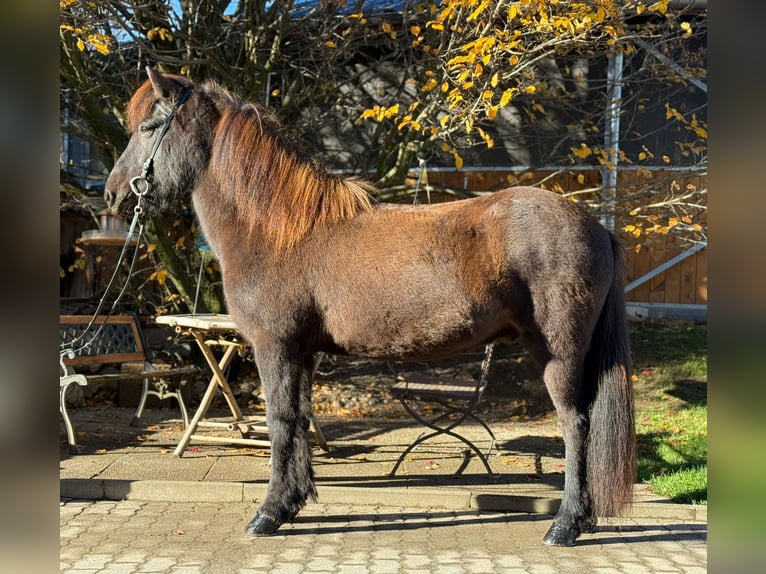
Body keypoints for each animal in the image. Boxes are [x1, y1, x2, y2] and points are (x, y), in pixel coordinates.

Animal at [105, 67, 635, 547]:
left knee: (576, 426)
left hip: (558, 355)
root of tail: (595, 225)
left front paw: (268, 514)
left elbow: (279, 422)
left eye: (149, 127)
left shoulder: (275, 346)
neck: (279, 231)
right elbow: (300, 419)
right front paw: (293, 503)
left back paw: (565, 526)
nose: (113, 193)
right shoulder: (304, 352)